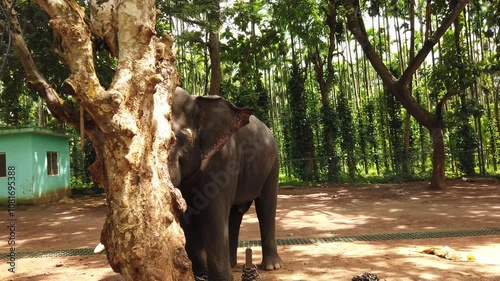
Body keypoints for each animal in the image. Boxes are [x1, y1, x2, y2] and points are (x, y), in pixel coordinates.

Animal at [170, 86, 282, 278]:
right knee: (235, 213)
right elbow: (188, 215)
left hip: (273, 164)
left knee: (266, 206)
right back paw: (231, 264)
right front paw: (201, 275)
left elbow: (214, 211)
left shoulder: (224, 158)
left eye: (181, 138)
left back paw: (271, 266)